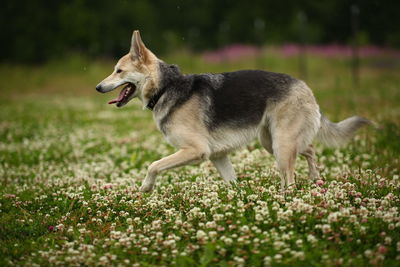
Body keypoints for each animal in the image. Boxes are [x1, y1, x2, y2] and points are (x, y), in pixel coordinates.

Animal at [95, 29, 370, 193]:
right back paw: (314, 179)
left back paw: (290, 196)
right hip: (271, 141)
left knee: (292, 175)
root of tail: (305, 86)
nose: (97, 87)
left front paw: (145, 188)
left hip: (281, 144)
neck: (165, 87)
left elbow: (153, 165)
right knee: (310, 149)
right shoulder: (218, 156)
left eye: (118, 71)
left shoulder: (196, 151)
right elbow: (233, 184)